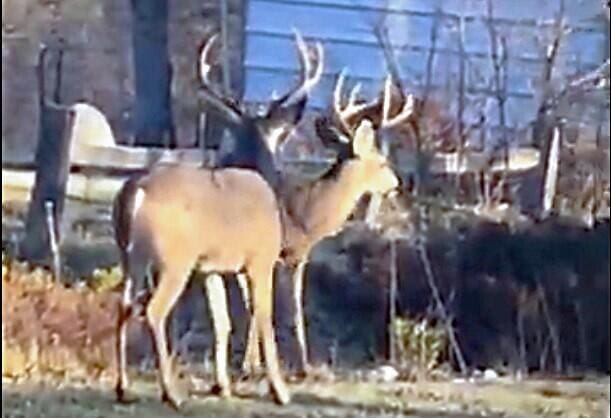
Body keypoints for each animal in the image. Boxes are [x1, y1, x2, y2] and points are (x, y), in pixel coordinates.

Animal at [113, 30, 326, 408]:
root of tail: (137, 190)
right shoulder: (260, 259)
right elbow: (263, 316)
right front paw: (279, 390)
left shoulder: (210, 268)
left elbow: (222, 321)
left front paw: (222, 384)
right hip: (174, 259)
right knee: (153, 310)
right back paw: (171, 392)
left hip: (131, 257)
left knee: (123, 306)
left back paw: (124, 388)